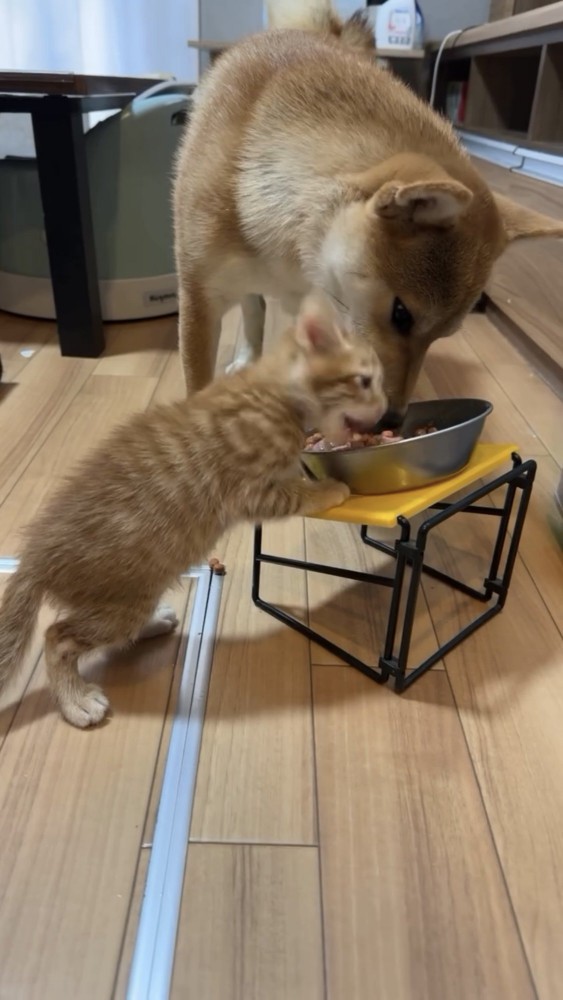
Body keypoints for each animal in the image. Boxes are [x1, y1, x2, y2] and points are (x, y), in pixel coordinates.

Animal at [0, 294, 386, 728]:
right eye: (365, 381)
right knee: (58, 637)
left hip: (130, 593)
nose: (387, 409)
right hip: (121, 599)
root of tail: (34, 558)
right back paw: (75, 700)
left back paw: (152, 623)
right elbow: (296, 494)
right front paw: (330, 489)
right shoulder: (249, 491)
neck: (274, 392)